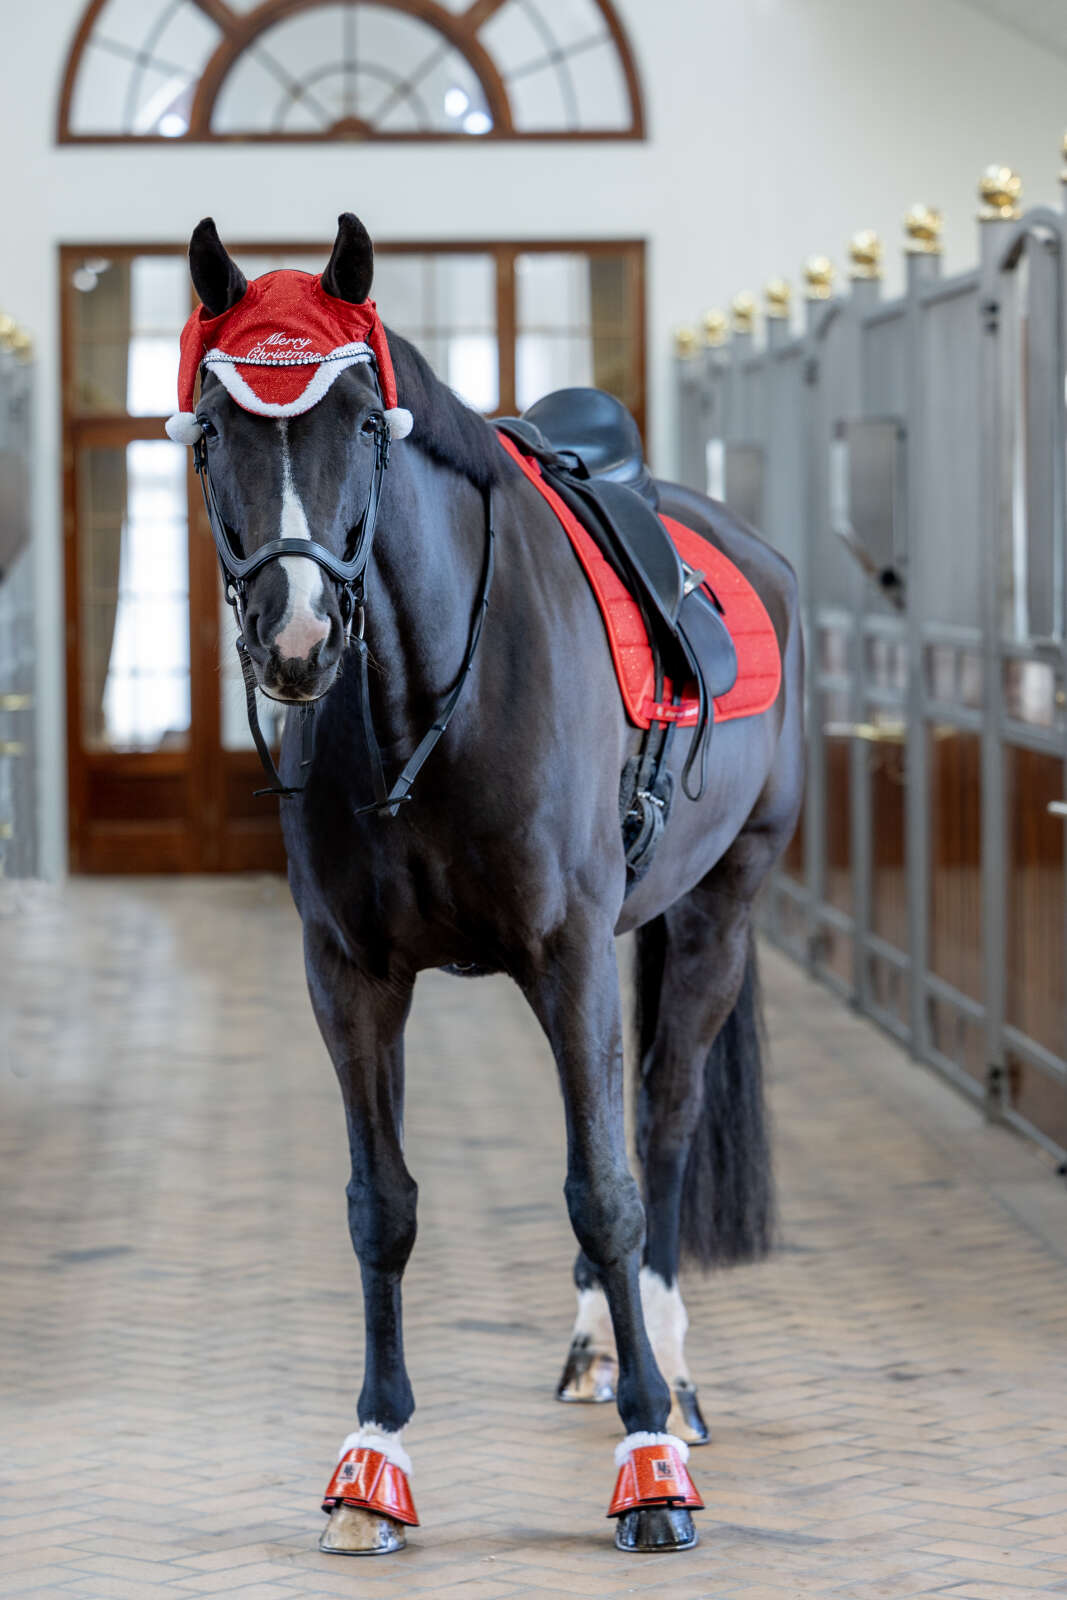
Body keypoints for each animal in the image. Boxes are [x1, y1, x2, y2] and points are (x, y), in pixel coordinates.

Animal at [172, 213, 804, 1556]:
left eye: (364, 421)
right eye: (211, 430)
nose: (296, 638)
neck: (423, 697)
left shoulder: (564, 957)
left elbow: (605, 1192)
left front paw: (648, 1466)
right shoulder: (348, 972)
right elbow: (382, 1203)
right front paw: (370, 1459)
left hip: (719, 910)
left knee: (662, 1119)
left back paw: (668, 1375)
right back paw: (597, 1346)